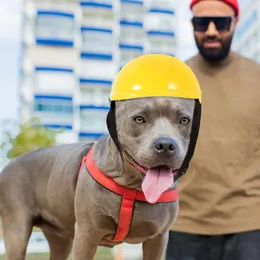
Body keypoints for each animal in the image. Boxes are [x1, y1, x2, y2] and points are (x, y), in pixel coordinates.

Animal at [0, 53, 201, 258]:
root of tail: (9, 164)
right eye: (139, 119)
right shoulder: (86, 235)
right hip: (17, 231)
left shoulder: (158, 239)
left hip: (60, 238)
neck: (133, 187)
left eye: (185, 120)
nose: (166, 145)